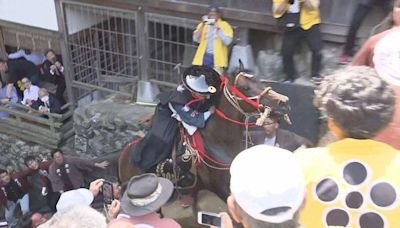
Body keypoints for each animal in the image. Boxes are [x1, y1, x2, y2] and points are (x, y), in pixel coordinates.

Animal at [117, 73, 290, 200]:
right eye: (245, 87)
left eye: (260, 82)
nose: (283, 102)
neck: (220, 142)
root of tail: (123, 155)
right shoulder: (221, 188)